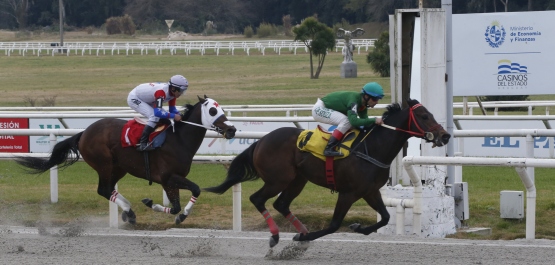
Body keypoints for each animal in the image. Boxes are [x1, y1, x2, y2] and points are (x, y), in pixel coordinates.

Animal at [15, 96, 237, 224]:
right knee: (103, 190)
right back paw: (129, 212)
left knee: (108, 190)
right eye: (213, 110)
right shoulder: (168, 177)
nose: (232, 129)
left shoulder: (170, 181)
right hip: (104, 164)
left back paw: (128, 211)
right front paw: (163, 208)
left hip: (118, 167)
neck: (178, 139)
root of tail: (84, 132)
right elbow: (190, 194)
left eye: (221, 109)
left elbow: (182, 201)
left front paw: (177, 213)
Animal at [205, 98, 452, 246]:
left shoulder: (370, 191)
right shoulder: (349, 193)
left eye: (430, 114)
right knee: (257, 199)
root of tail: (261, 140)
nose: (445, 135)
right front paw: (305, 237)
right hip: (278, 180)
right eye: (424, 116)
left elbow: (385, 217)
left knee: (281, 204)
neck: (371, 148)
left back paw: (300, 230)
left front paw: (358, 227)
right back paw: (277, 235)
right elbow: (333, 225)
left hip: (297, 180)